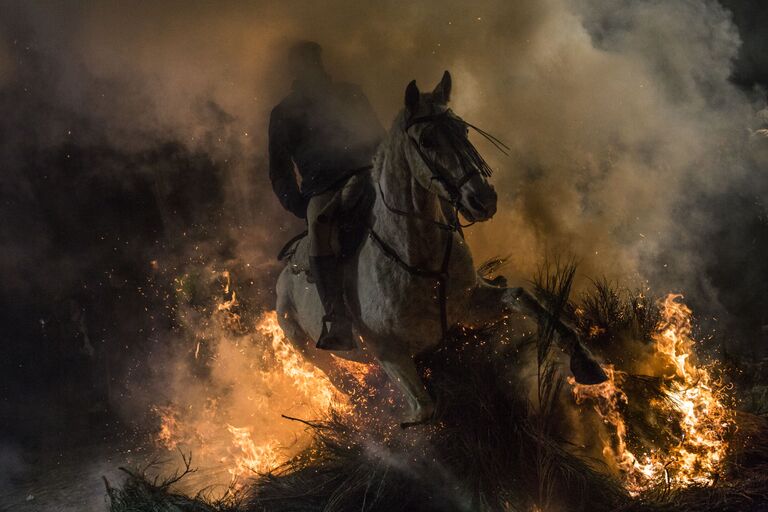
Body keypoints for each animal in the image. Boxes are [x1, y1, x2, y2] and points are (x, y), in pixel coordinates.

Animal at [276, 71, 608, 424]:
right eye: (427, 141)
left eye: (463, 130)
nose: (483, 199)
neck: (419, 258)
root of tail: (283, 277)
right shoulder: (389, 353)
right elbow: (425, 407)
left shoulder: (470, 306)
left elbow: (519, 297)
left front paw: (585, 361)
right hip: (306, 347)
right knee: (341, 381)